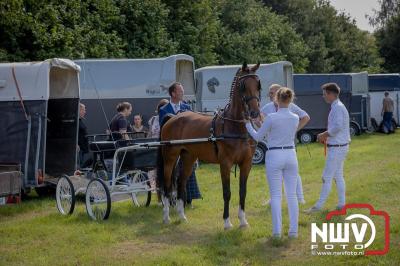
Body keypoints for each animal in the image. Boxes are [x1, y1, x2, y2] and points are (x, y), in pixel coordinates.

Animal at [161, 62, 260, 229]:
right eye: (243, 86)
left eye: (258, 84)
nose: (254, 113)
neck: (235, 126)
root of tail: (173, 117)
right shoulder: (225, 164)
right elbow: (227, 193)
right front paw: (227, 222)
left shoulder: (246, 163)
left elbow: (243, 191)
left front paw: (243, 221)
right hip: (170, 157)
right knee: (167, 184)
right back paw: (167, 217)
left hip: (188, 157)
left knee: (181, 182)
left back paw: (182, 216)